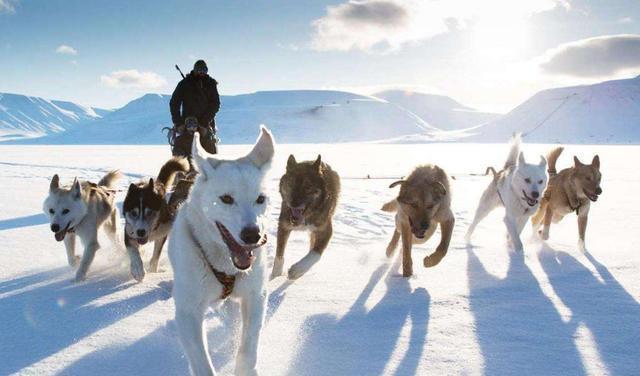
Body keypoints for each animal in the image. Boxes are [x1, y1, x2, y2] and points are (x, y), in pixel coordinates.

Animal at [171, 127, 276, 376]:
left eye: (260, 199)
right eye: (226, 199)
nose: (252, 235)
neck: (224, 264)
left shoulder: (255, 296)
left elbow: (248, 349)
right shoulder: (188, 312)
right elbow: (202, 363)